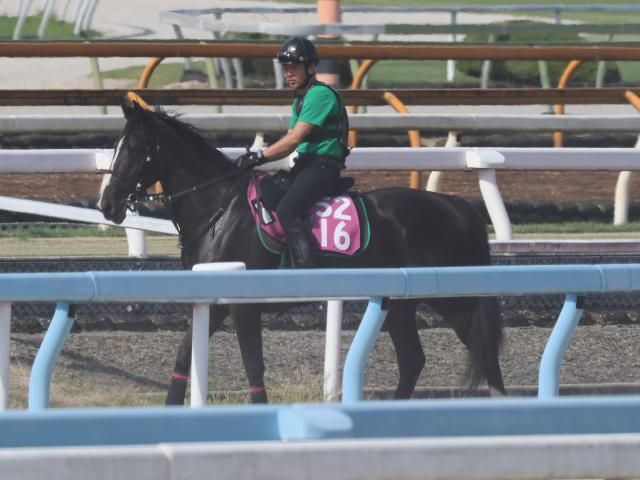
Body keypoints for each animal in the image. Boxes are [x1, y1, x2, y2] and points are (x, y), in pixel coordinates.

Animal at [100, 94, 508, 404]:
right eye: (116, 147)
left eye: (134, 148)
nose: (107, 204)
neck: (219, 207)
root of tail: (457, 206)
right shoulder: (212, 302)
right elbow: (185, 354)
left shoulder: (242, 306)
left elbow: (253, 364)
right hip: (400, 303)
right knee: (413, 360)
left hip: (453, 299)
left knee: (481, 350)